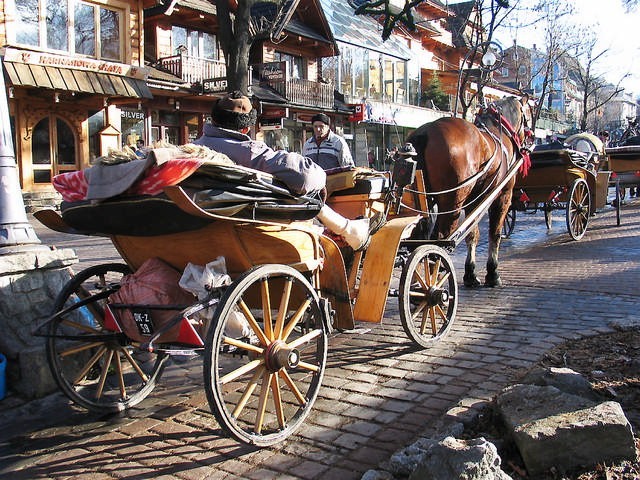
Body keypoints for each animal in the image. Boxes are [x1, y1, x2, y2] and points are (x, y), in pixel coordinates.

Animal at [408, 95, 532, 286]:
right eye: (529, 114)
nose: (530, 137)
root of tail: (426, 132)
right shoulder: (503, 195)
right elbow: (495, 233)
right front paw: (493, 273)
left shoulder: (473, 200)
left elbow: (472, 234)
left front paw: (470, 273)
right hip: (452, 202)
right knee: (440, 238)